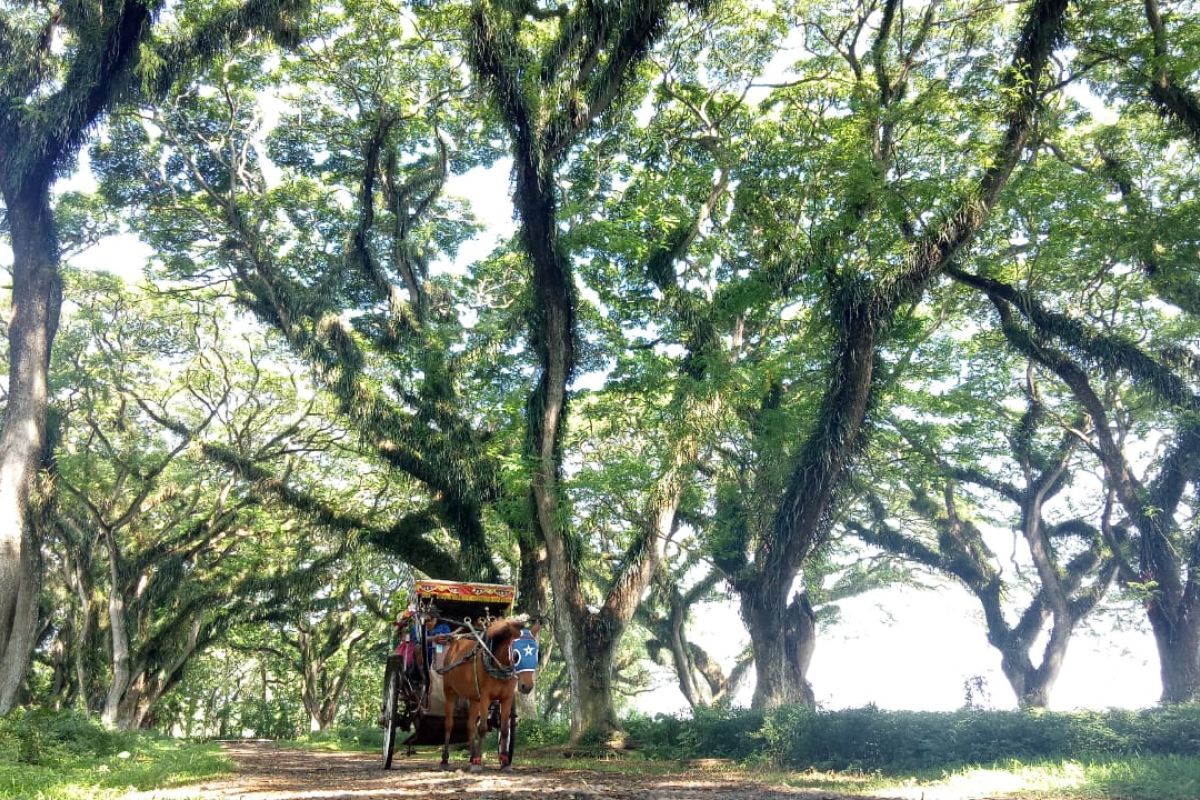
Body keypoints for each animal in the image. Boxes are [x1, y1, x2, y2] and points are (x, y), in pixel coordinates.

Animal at [436, 618, 540, 767]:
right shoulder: (485, 697)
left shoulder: (507, 698)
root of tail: (455, 642)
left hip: (474, 697)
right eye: (516, 655)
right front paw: (478, 762)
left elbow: (504, 729)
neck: (497, 666)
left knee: (470, 725)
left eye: (537, 655)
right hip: (449, 690)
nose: (527, 686)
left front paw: (504, 762)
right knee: (449, 724)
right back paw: (445, 758)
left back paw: (472, 756)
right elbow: (483, 728)